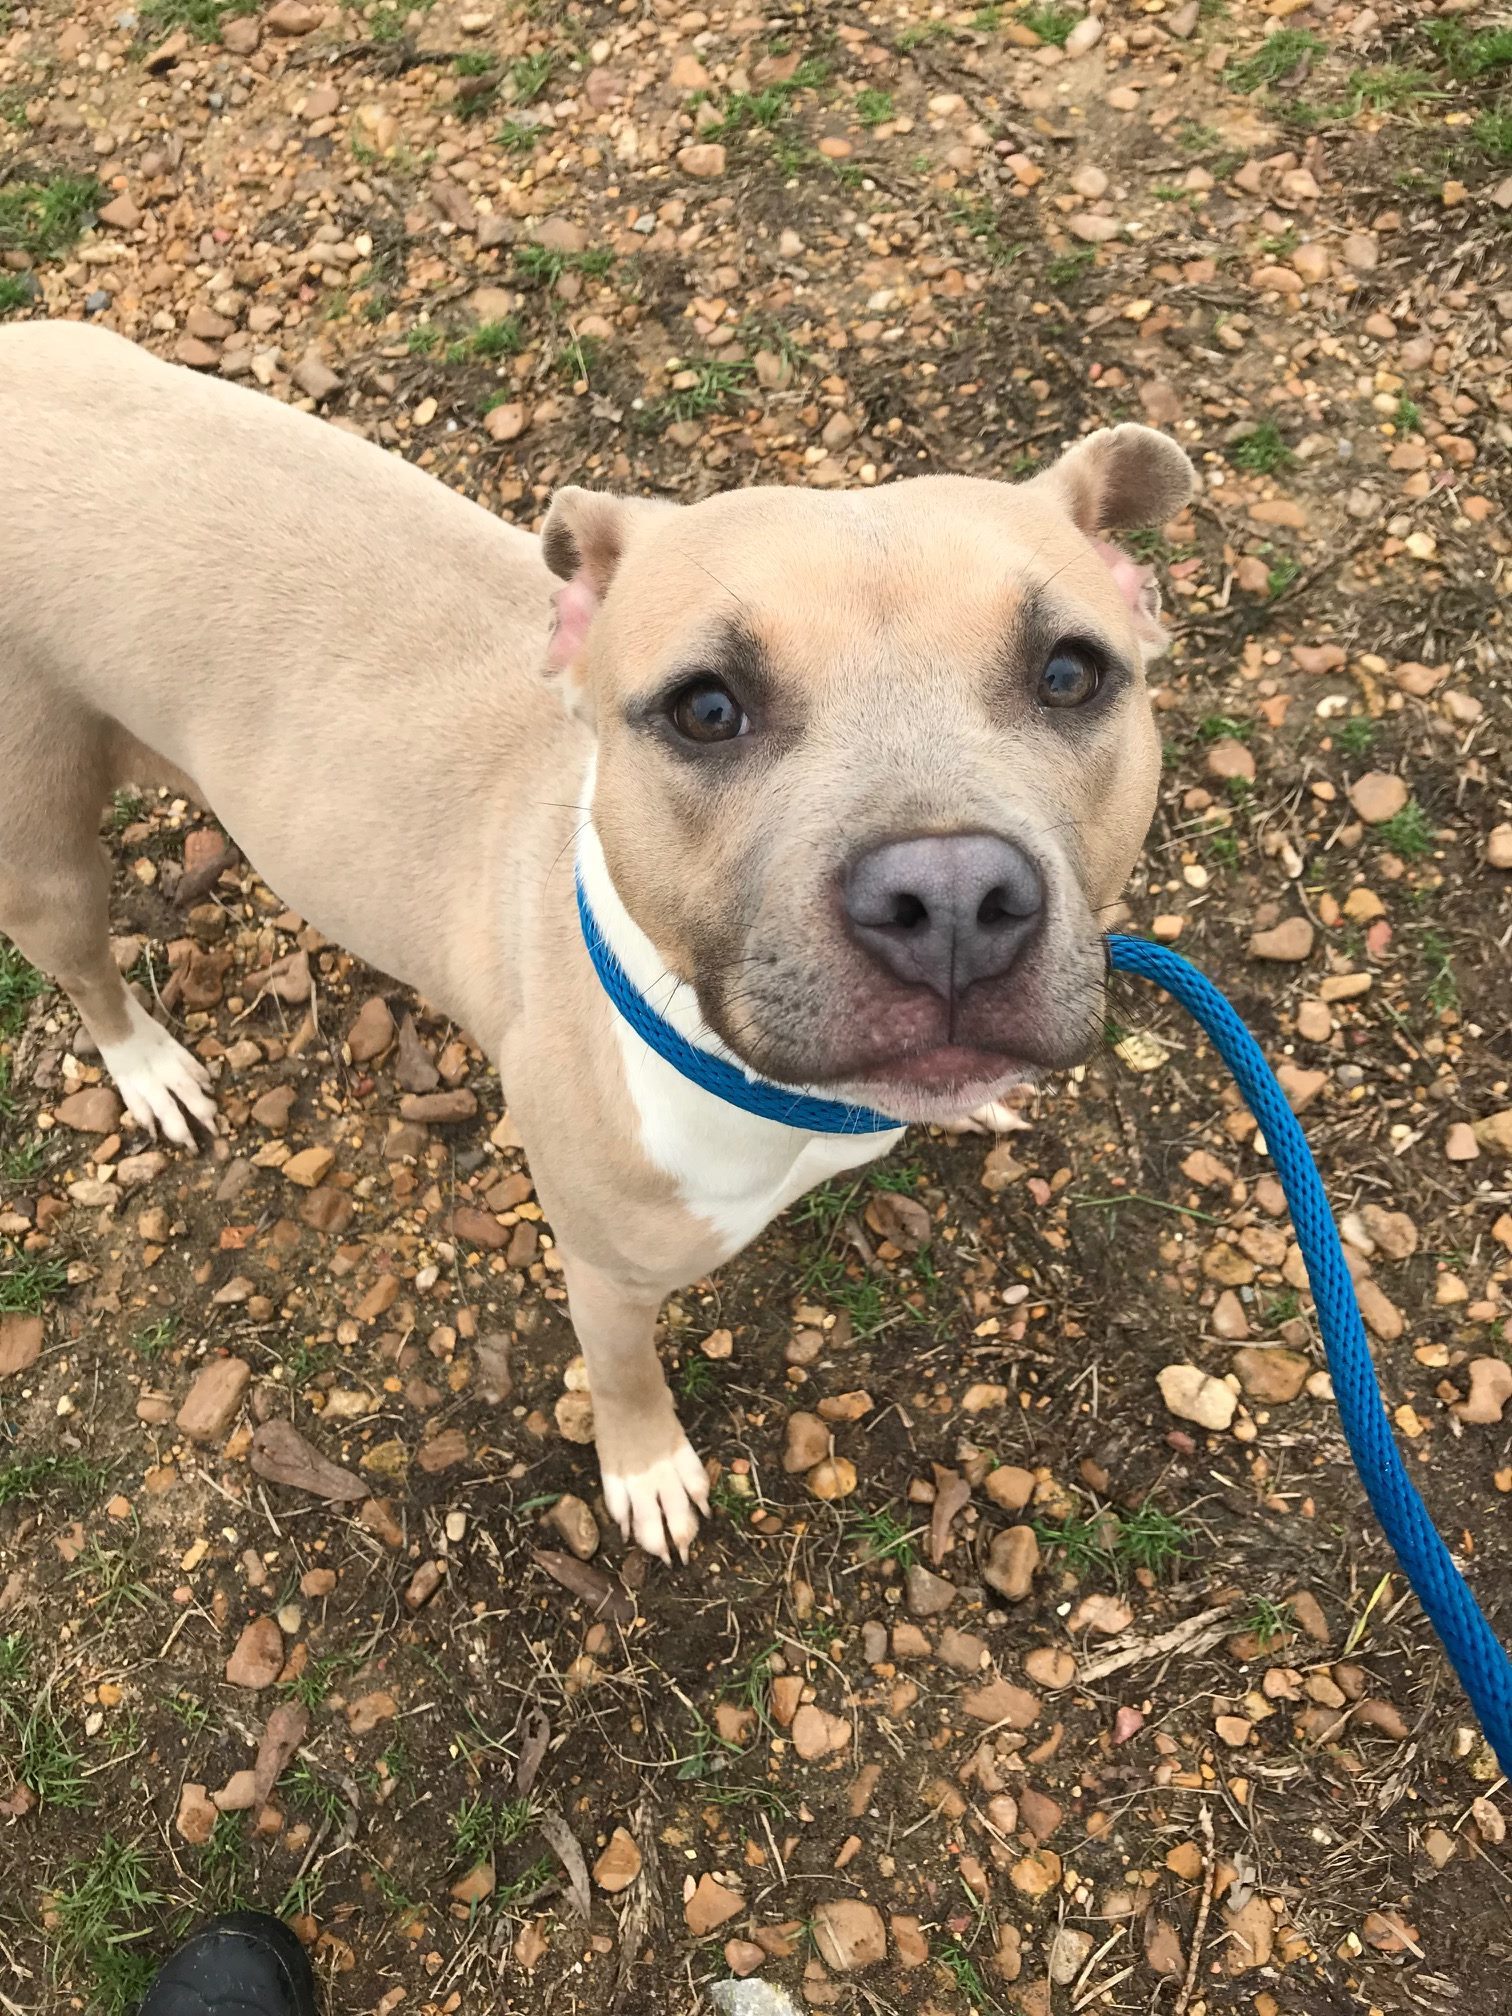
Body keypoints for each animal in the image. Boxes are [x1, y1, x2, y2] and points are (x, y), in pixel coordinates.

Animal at [0, 326, 1193, 1556]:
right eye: (705, 709)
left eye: (1070, 674)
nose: (950, 898)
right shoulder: (607, 1270)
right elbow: (622, 1375)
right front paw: (646, 1468)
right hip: (39, 847)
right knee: (85, 968)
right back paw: (150, 1070)